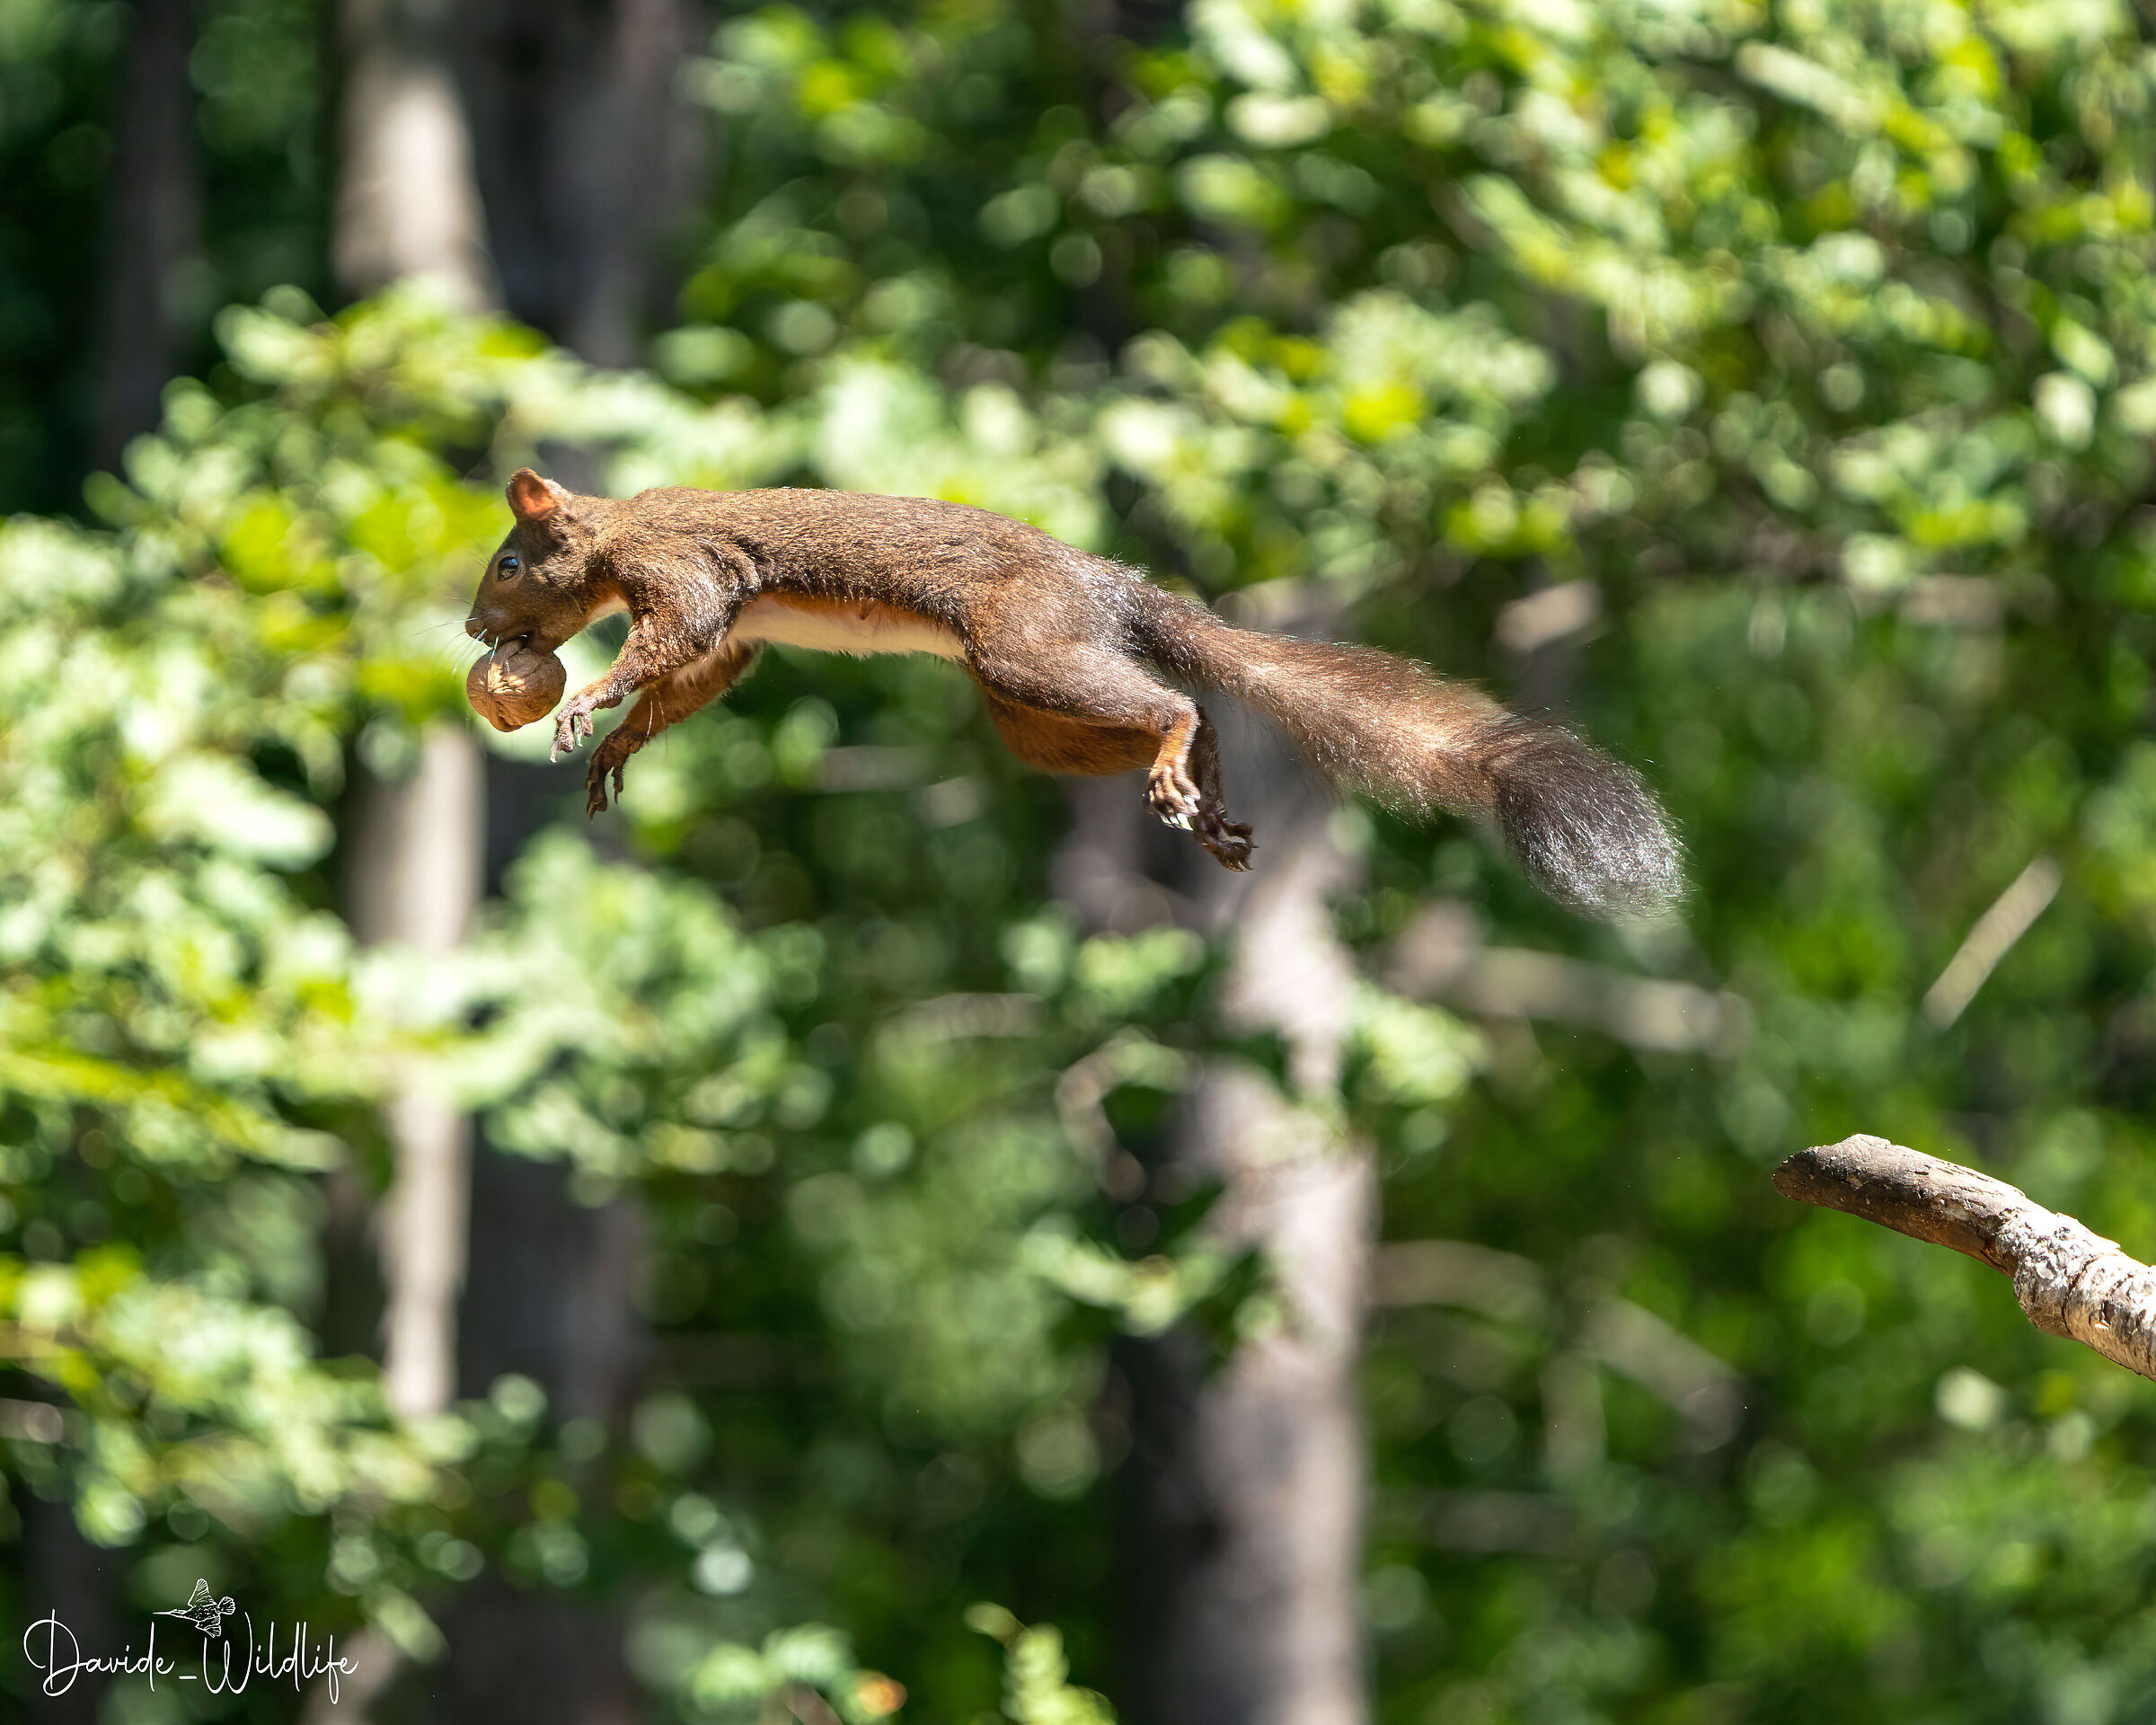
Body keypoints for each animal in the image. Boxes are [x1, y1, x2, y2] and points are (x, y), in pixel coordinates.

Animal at [464, 469, 1682, 918]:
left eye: (510, 562)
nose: (475, 632)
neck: (616, 531)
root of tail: (1109, 585)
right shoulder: (728, 638)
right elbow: (702, 673)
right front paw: (618, 747)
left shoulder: (684, 570)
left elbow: (675, 640)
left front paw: (585, 705)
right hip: (1033, 718)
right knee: (1168, 713)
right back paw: (1209, 797)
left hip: (1027, 652)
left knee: (1174, 702)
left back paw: (1182, 762)